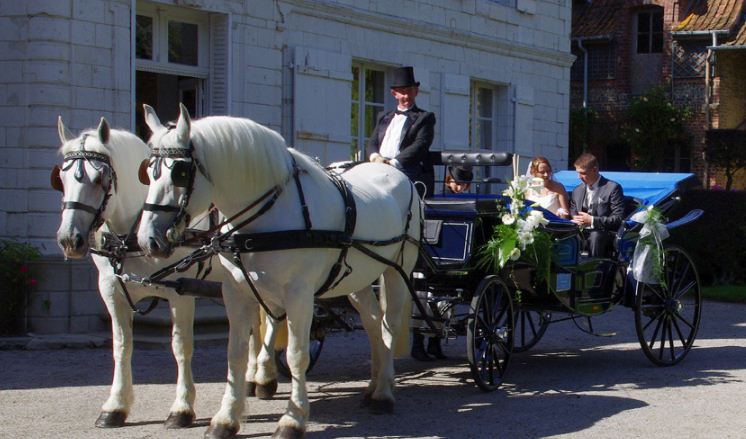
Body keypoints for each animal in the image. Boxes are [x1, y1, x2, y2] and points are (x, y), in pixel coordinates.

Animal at [52, 116, 278, 430]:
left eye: (99, 180)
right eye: (60, 180)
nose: (69, 240)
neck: (133, 233)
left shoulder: (179, 292)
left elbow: (181, 347)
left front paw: (181, 408)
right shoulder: (111, 291)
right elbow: (121, 346)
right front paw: (115, 406)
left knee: (270, 318)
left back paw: (265, 377)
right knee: (255, 323)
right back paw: (252, 378)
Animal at [137, 105, 422, 439]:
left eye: (180, 172)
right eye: (148, 171)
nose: (148, 240)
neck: (270, 213)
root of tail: (399, 175)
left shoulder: (300, 295)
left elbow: (296, 355)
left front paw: (292, 420)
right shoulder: (235, 291)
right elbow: (235, 353)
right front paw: (225, 419)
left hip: (397, 272)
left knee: (389, 325)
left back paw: (384, 394)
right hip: (356, 279)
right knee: (373, 322)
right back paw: (374, 384)